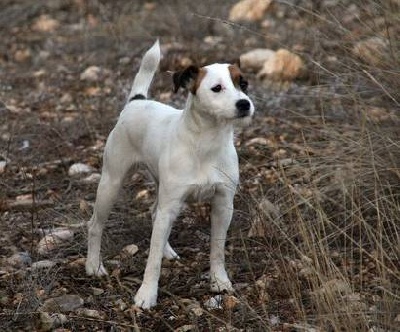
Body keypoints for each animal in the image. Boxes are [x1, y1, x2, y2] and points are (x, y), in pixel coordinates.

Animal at [85, 40, 255, 308]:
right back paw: (93, 265)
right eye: (217, 88)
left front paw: (219, 281)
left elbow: (217, 250)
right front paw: (146, 294)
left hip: (162, 191)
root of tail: (136, 101)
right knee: (95, 225)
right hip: (111, 184)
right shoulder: (171, 205)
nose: (244, 104)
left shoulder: (223, 205)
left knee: (155, 213)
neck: (206, 143)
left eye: (244, 84)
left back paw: (167, 250)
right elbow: (152, 260)